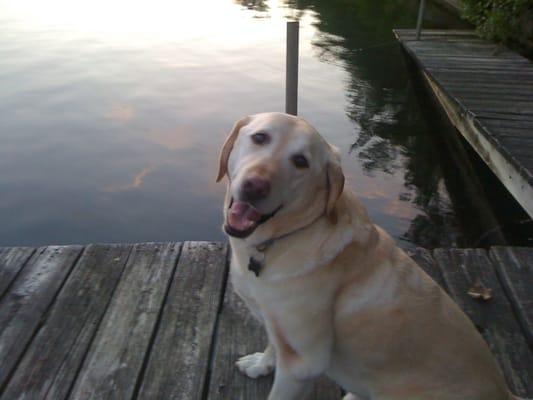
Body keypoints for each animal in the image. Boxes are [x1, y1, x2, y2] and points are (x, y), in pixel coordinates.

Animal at [215, 112, 520, 400]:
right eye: (260, 137)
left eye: (301, 162)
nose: (255, 186)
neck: (282, 238)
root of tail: (506, 392)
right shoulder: (278, 327)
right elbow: (273, 344)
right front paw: (261, 364)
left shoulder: (303, 363)